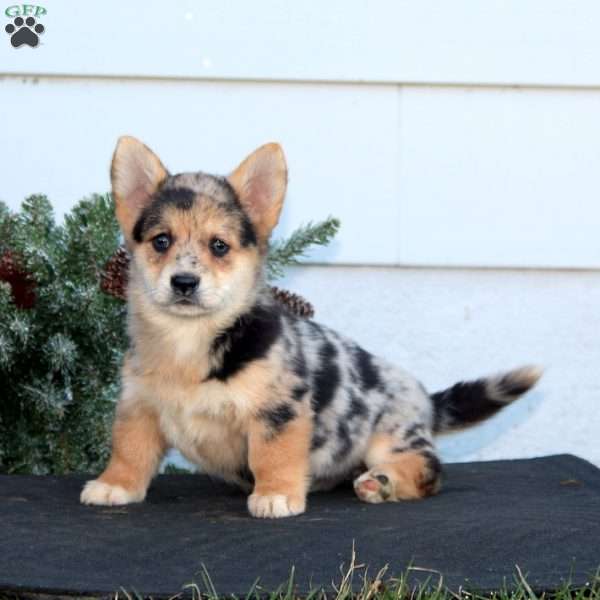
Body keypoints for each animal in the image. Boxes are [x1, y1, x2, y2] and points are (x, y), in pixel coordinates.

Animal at [77, 136, 540, 516]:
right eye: (161, 241)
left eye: (219, 246)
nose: (184, 283)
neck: (188, 339)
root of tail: (425, 399)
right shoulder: (138, 406)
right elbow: (130, 451)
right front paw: (114, 486)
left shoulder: (279, 409)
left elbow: (273, 456)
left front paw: (276, 495)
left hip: (391, 435)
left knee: (427, 469)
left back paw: (382, 483)